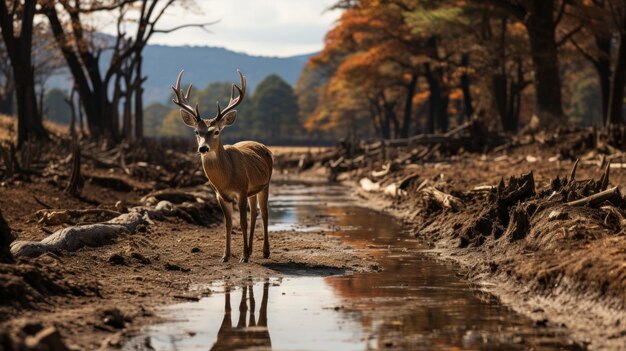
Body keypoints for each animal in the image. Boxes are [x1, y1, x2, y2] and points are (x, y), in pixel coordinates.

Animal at [171, 71, 270, 264]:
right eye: (196, 132)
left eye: (216, 131)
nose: (203, 148)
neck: (226, 179)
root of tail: (262, 146)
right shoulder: (220, 195)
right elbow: (228, 224)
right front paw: (226, 256)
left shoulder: (241, 190)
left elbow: (242, 222)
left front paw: (243, 257)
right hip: (252, 190)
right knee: (254, 213)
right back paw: (251, 250)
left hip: (266, 184)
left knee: (264, 212)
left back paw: (265, 252)